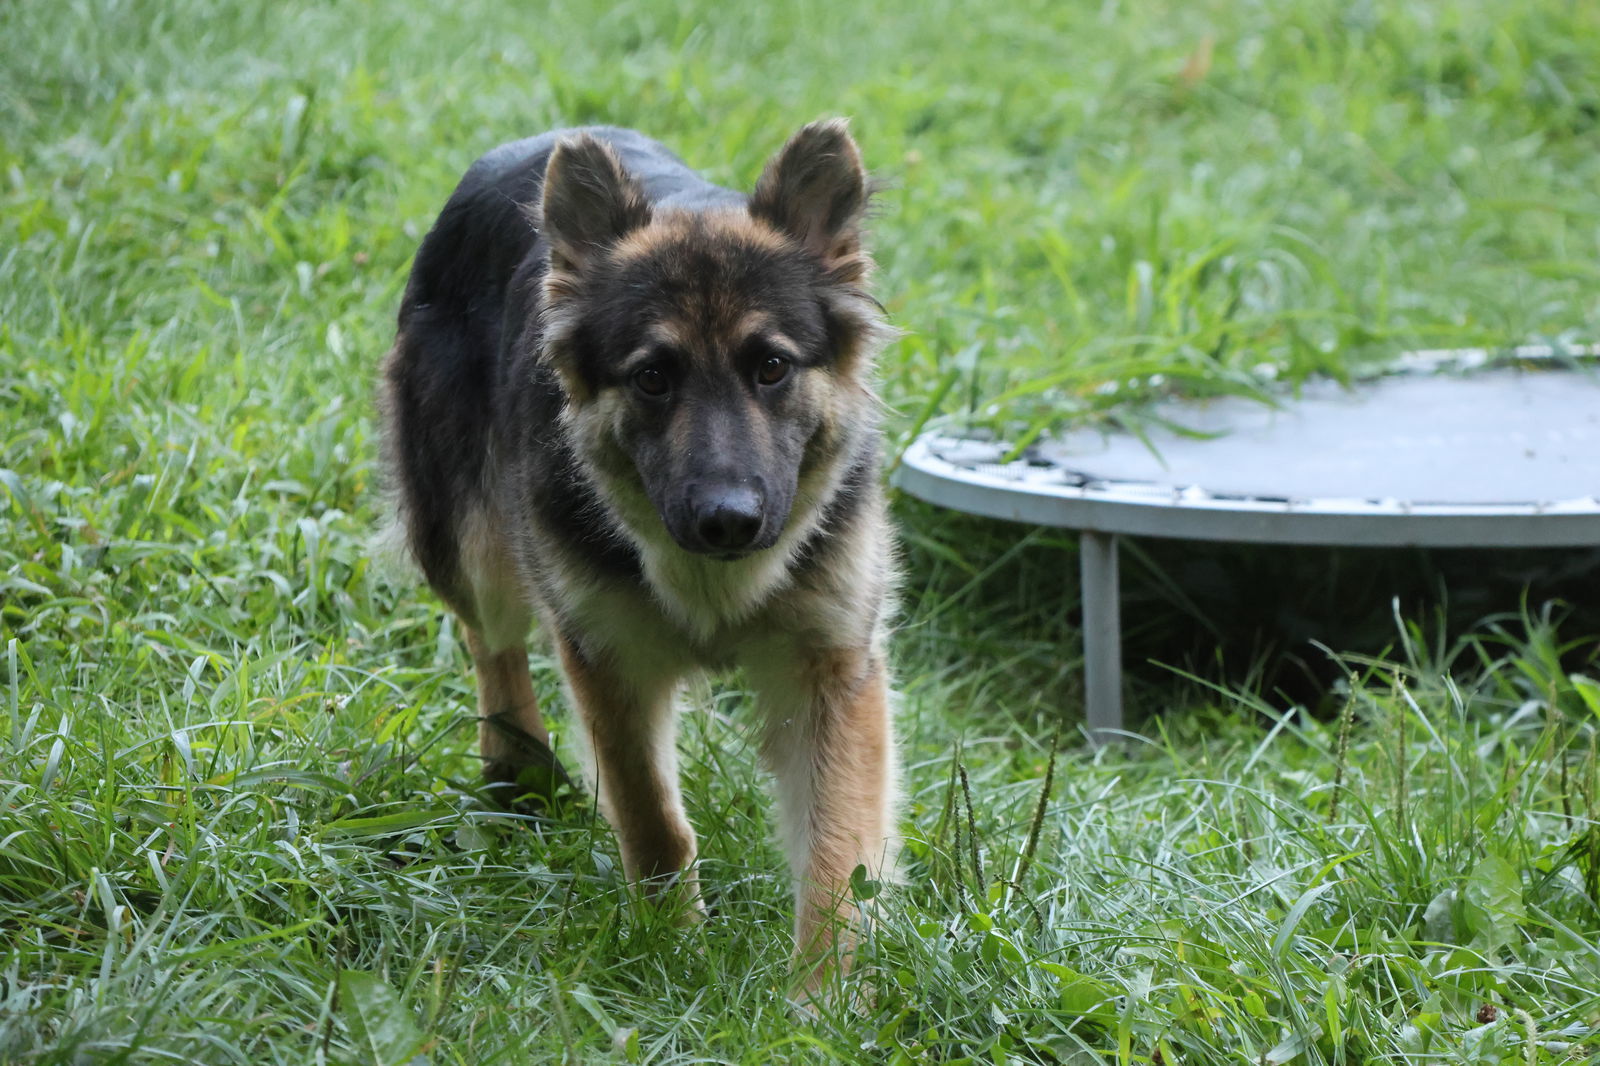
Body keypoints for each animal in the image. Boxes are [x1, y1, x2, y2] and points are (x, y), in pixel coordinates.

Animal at [376, 120, 902, 985]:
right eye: (654, 376)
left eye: (772, 366)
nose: (729, 521)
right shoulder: (609, 652)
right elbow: (651, 816)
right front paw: (673, 950)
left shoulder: (829, 667)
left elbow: (836, 854)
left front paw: (825, 994)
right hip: (474, 544)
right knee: (493, 640)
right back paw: (518, 772)